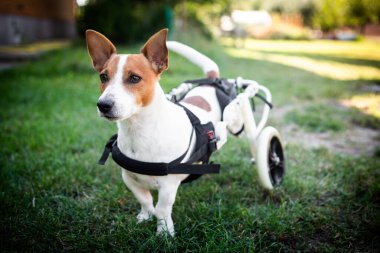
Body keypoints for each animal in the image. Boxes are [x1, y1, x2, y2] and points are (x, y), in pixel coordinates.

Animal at [86, 27, 243, 235]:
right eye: (103, 77)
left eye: (134, 78)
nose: (103, 105)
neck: (138, 131)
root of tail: (211, 81)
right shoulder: (129, 178)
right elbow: (145, 199)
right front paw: (145, 216)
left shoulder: (168, 186)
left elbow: (162, 209)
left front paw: (164, 232)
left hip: (237, 122)